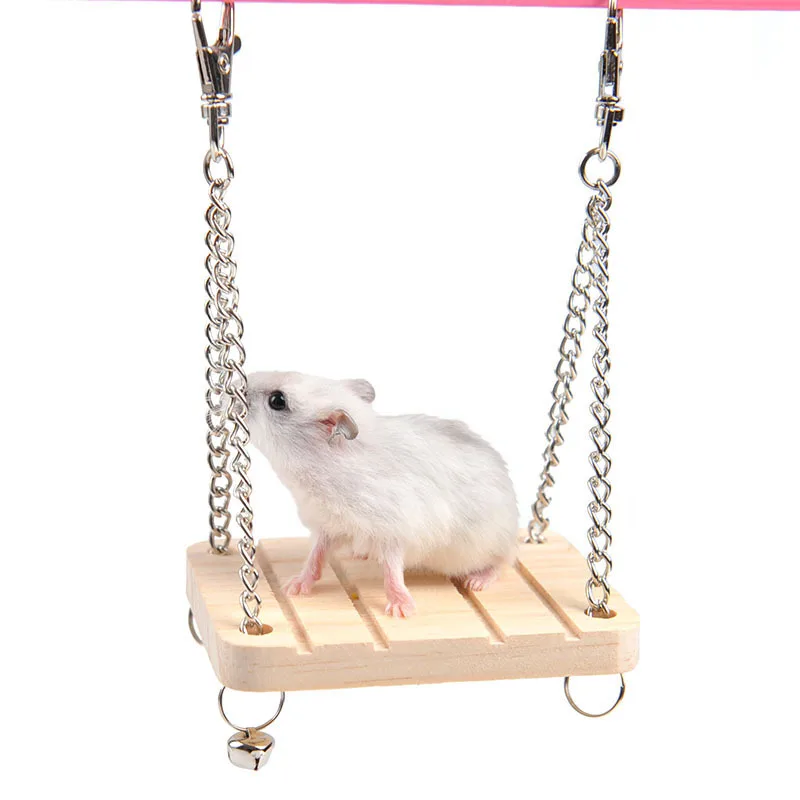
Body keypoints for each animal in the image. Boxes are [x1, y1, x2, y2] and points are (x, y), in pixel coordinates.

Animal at [247, 371, 518, 618]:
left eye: (277, 400)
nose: (240, 382)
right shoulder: (327, 524)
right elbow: (316, 555)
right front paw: (292, 587)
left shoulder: (392, 530)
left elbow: (392, 570)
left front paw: (402, 610)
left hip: (492, 541)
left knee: (504, 560)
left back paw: (477, 581)